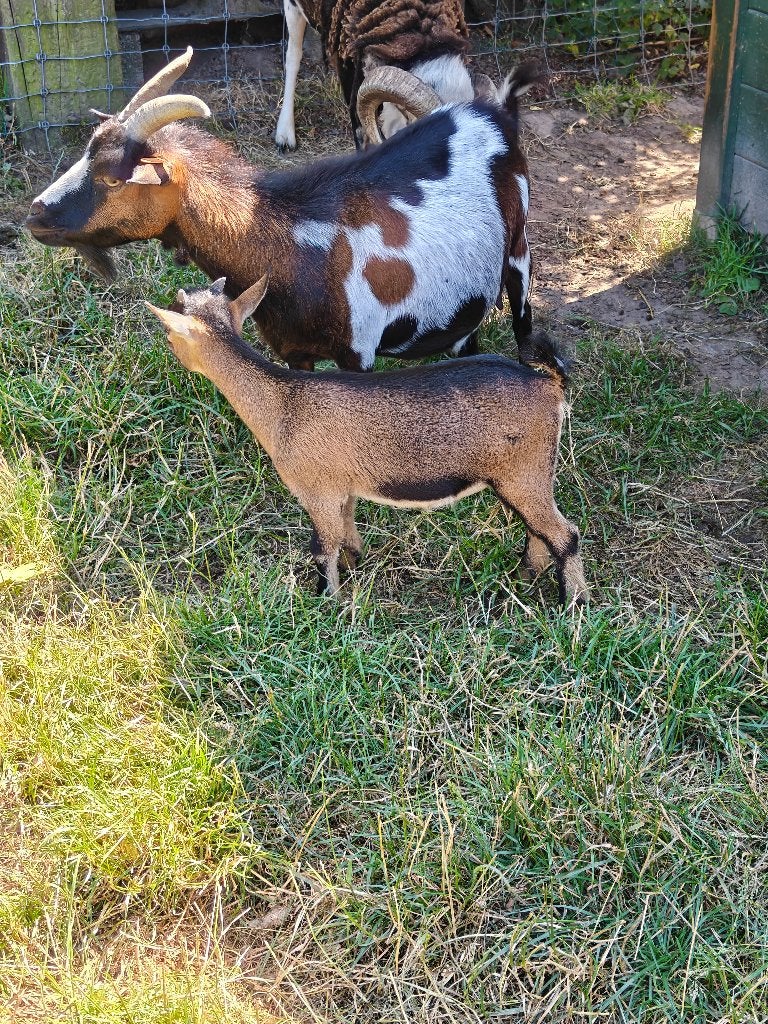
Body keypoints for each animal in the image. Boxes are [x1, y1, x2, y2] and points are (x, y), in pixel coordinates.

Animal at [26, 47, 541, 371]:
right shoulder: (294, 351)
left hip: (518, 252)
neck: (292, 241)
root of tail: (493, 114)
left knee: (522, 321)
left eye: (114, 178)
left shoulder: (359, 354)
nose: (35, 215)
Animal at [146, 276, 589, 608]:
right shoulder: (343, 490)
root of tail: (548, 383)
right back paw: (524, 577)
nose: (171, 357)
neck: (283, 404)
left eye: (169, 335)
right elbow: (347, 536)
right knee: (539, 532)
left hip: (524, 471)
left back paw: (572, 606)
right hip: (522, 477)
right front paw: (354, 568)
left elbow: (322, 547)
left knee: (565, 534)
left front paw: (328, 603)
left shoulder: (317, 490)